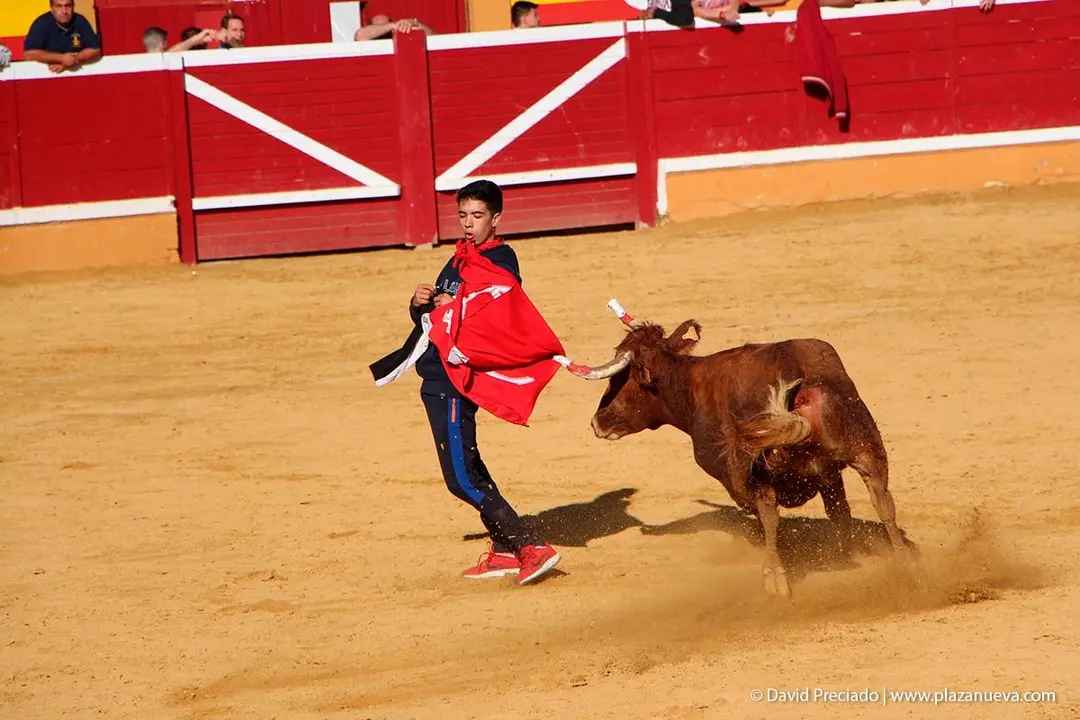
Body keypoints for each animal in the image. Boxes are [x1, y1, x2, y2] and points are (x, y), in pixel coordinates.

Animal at [562, 301, 911, 598]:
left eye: (621, 378)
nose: (598, 422)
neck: (688, 385)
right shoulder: (827, 473)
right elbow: (839, 513)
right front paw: (843, 556)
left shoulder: (738, 480)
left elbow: (767, 519)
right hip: (869, 452)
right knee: (883, 503)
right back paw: (903, 564)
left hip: (762, 475)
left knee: (771, 517)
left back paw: (774, 579)